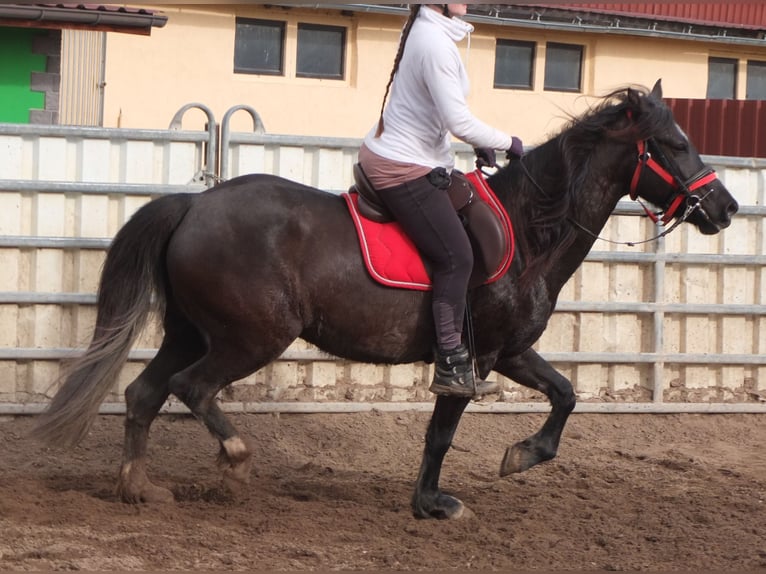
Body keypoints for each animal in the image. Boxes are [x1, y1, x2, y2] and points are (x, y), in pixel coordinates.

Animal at [34, 82, 736, 520]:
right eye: (674, 145)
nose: (725, 207)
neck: (527, 228)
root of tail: (195, 203)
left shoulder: (510, 352)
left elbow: (565, 395)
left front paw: (519, 457)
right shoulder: (473, 359)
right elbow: (442, 433)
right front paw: (434, 503)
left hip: (189, 330)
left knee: (143, 394)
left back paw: (138, 488)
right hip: (248, 337)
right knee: (191, 388)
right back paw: (233, 465)